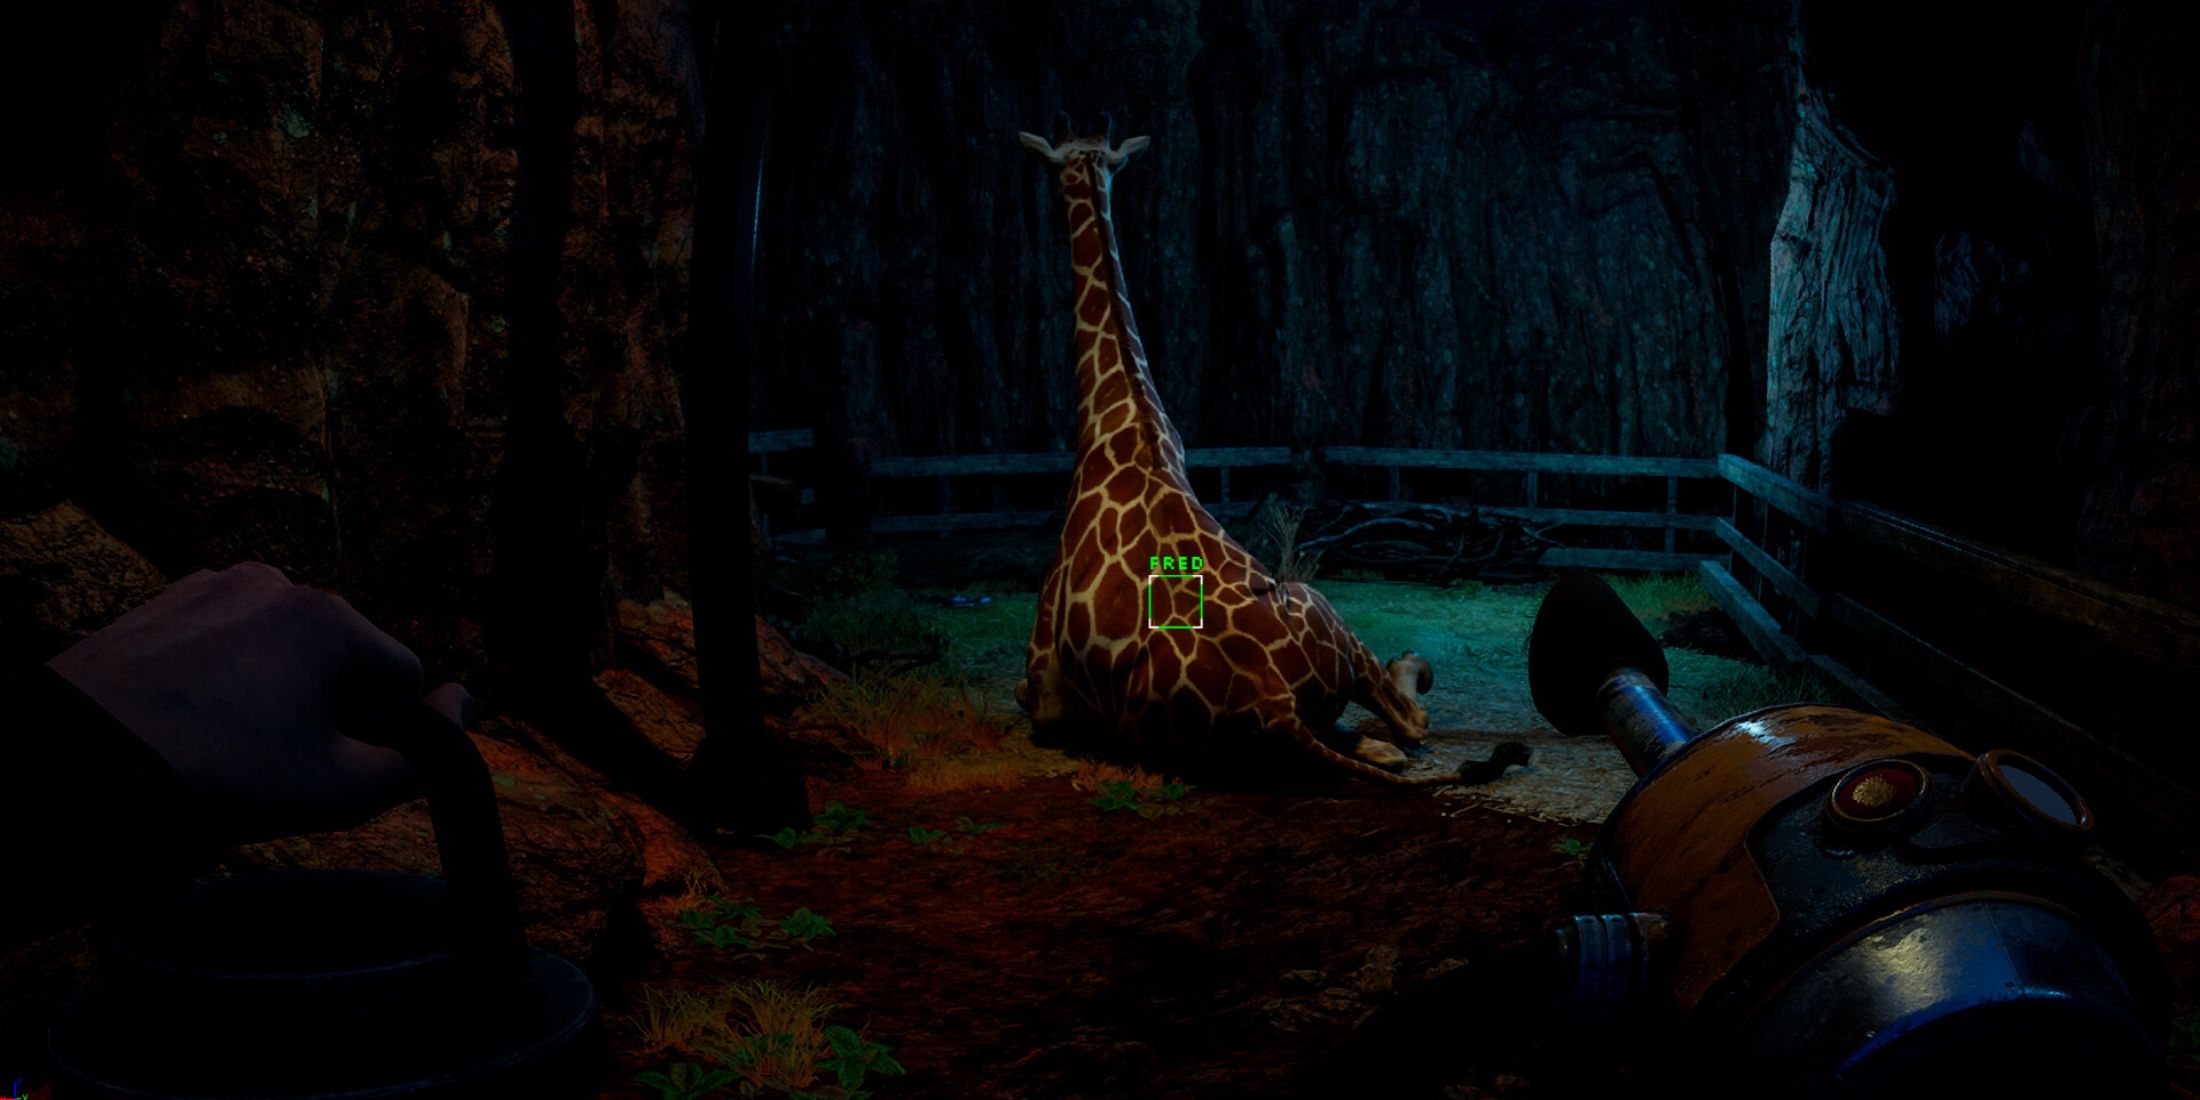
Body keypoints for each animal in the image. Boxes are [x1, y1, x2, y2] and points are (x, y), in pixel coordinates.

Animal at [1014, 113, 1527, 788]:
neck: (1120, 424)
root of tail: (1272, 702)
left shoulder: (1044, 681)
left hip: (1315, 608)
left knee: (1405, 722)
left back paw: (1414, 663)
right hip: (1315, 645)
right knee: (1390, 738)